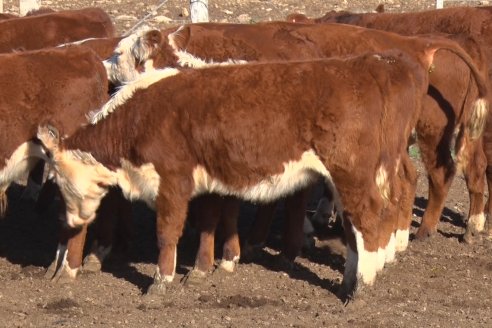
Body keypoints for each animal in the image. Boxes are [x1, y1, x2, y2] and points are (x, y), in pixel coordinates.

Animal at [39, 44, 472, 300]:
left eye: (57, 181)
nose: (71, 222)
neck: (142, 115)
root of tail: (375, 64)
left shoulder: (173, 180)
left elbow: (168, 232)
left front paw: (161, 284)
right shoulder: (208, 178)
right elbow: (211, 223)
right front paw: (203, 269)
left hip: (352, 172)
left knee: (369, 219)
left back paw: (358, 287)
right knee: (368, 219)